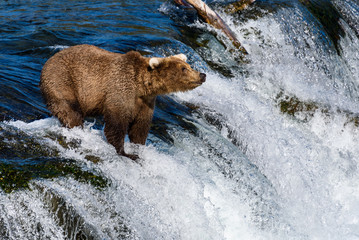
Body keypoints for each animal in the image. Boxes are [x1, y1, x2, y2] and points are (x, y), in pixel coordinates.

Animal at [40, 44, 205, 160]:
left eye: (189, 66)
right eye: (184, 69)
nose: (202, 75)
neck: (142, 86)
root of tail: (48, 60)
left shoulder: (145, 103)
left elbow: (140, 127)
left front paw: (138, 147)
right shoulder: (121, 91)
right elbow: (116, 124)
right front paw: (126, 152)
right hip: (62, 82)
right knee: (70, 111)